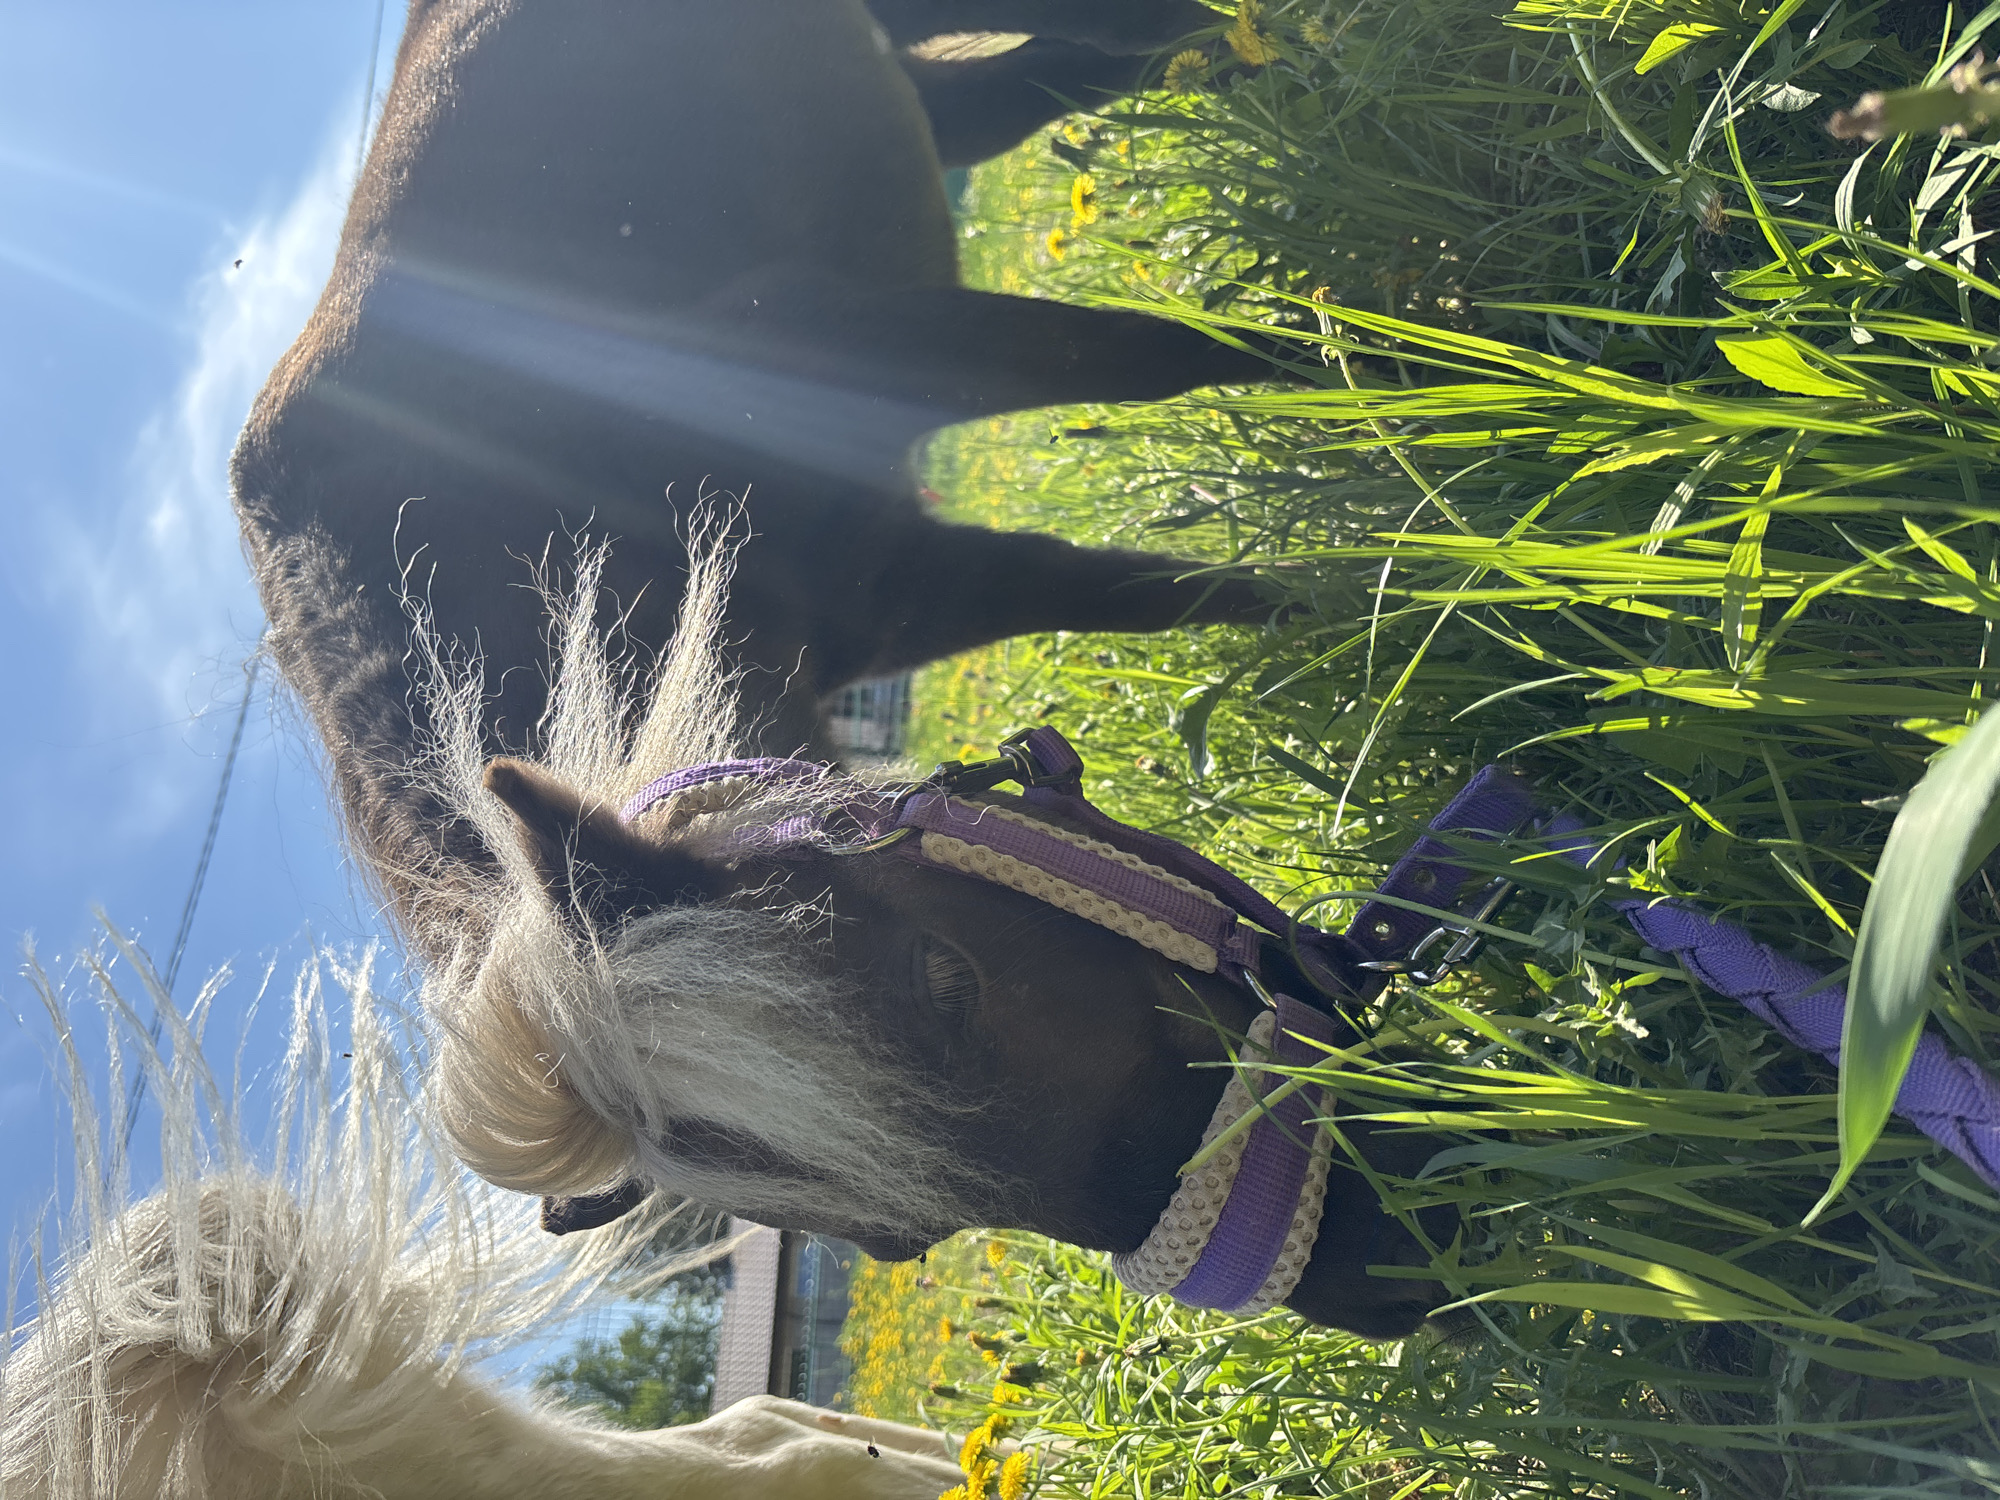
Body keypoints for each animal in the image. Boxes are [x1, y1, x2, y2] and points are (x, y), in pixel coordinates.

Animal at [232, 0, 1450, 1339]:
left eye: (944, 976)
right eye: (898, 1239)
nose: (1403, 1260)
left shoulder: (893, 348)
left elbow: (1174, 358)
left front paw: (1451, 390)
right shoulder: (916, 585)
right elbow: (1179, 596)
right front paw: (1432, 600)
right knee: (1058, 81)